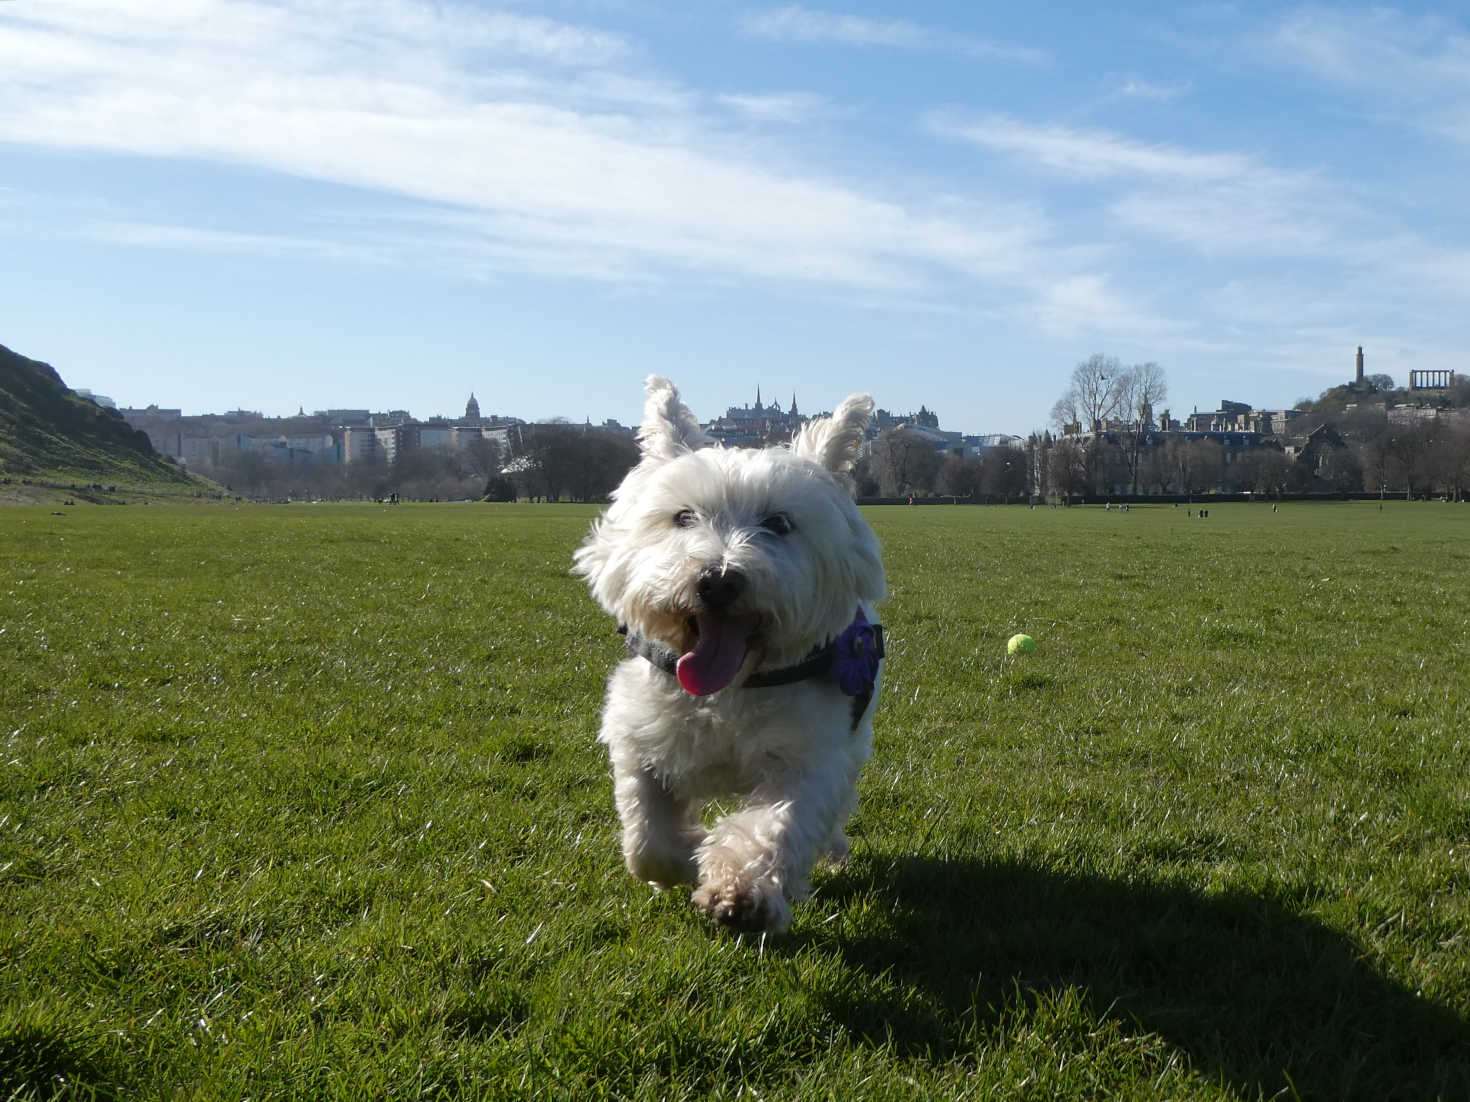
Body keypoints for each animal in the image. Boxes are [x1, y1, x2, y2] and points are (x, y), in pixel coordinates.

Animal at [573, 379, 882, 934]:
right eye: (682, 517)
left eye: (778, 523)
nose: (717, 580)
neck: (731, 686)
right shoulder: (639, 738)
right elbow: (645, 841)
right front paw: (690, 855)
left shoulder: (807, 756)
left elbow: (777, 824)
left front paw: (740, 890)